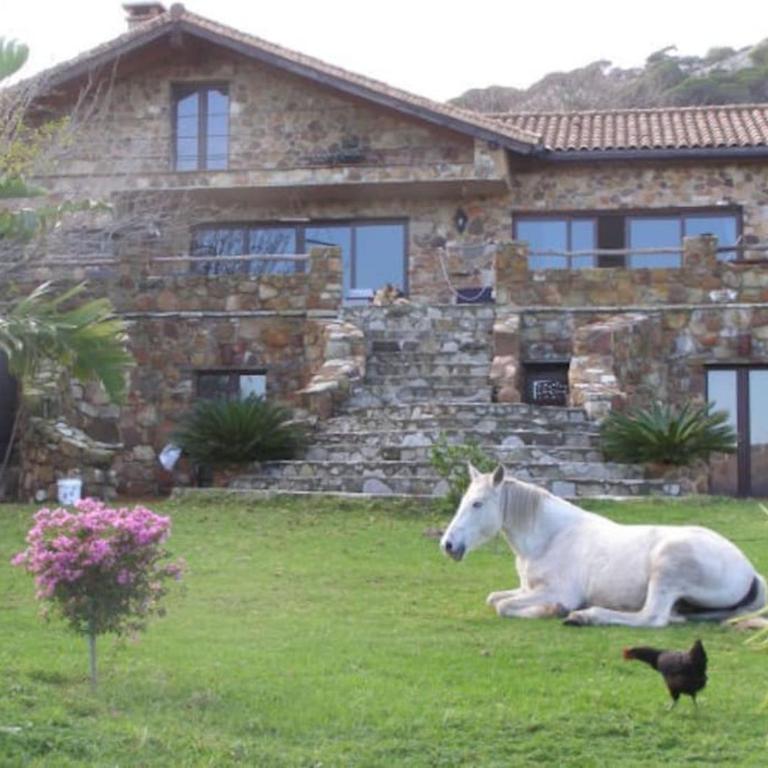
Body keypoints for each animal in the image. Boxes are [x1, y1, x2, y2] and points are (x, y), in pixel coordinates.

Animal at [439, 464, 766, 627]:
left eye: (477, 504)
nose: (448, 545)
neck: (550, 537)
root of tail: (749, 572)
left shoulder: (557, 591)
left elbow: (504, 606)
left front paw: (554, 610)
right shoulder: (526, 589)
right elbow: (494, 599)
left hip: (667, 567)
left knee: (652, 618)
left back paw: (585, 616)